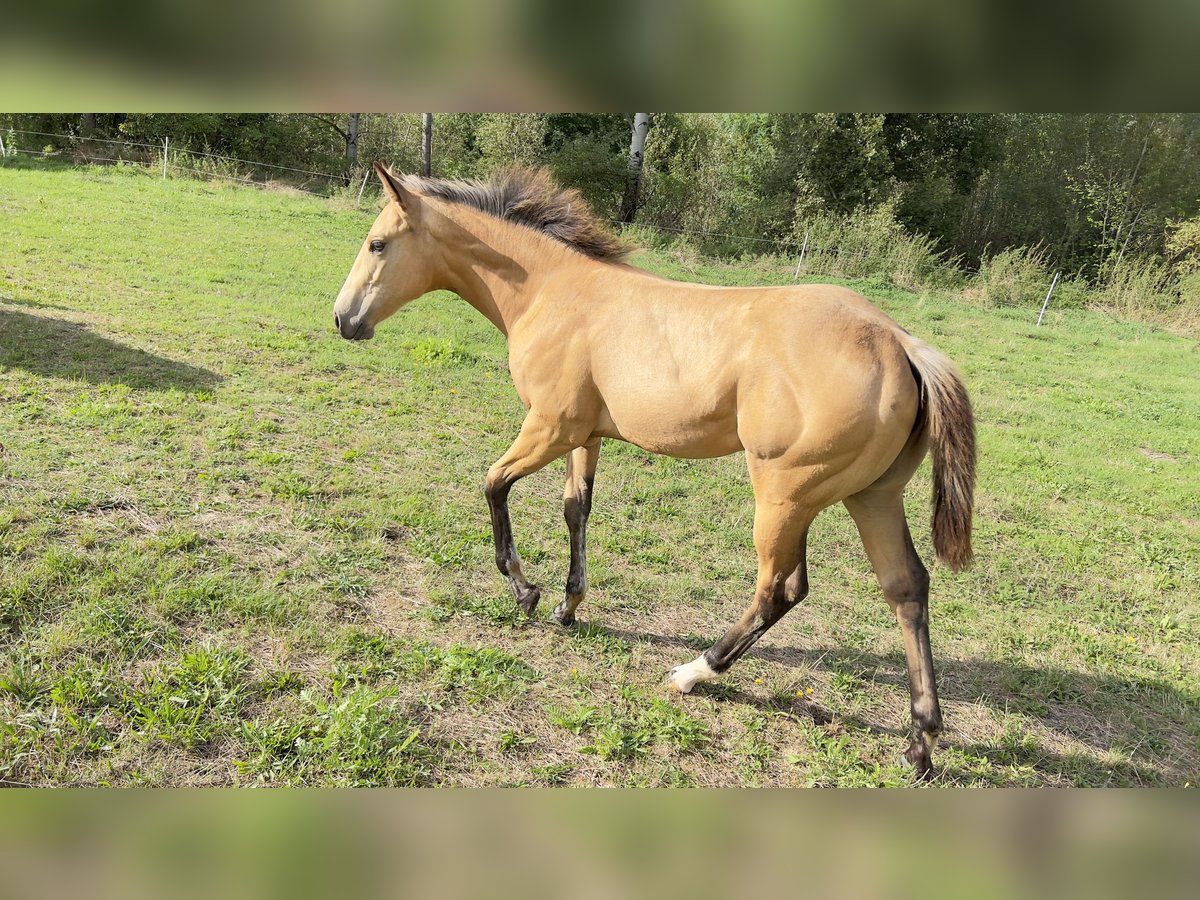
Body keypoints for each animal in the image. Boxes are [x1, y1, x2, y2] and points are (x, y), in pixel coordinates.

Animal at [331, 164, 974, 777]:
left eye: (377, 243)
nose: (343, 320)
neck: (551, 292)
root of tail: (902, 344)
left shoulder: (549, 428)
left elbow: (494, 483)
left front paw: (525, 591)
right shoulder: (585, 436)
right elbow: (576, 509)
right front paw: (568, 605)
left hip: (786, 494)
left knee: (780, 589)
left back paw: (693, 672)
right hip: (872, 496)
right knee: (906, 589)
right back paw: (921, 745)